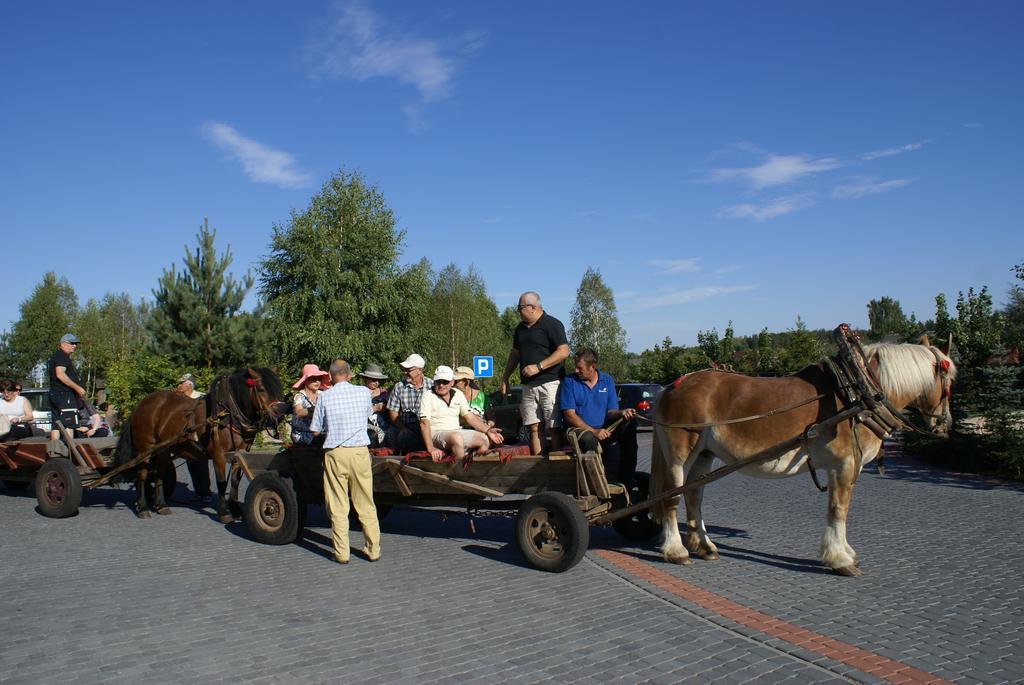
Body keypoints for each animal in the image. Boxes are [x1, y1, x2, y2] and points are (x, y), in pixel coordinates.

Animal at [113, 366, 286, 520]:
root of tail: (141, 404)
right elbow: (221, 482)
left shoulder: (241, 453)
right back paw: (142, 507)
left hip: (163, 449)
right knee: (142, 474)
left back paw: (161, 505)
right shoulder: (218, 454)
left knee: (159, 473)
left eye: (278, 388)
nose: (280, 415)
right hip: (146, 448)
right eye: (262, 389)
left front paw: (236, 509)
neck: (228, 414)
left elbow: (235, 482)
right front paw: (224, 512)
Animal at [651, 335, 954, 577]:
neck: (856, 394)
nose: (945, 424)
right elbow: (838, 509)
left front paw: (846, 552)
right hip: (680, 455)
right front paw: (840, 559)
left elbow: (840, 509)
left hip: (704, 454)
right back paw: (676, 550)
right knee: (671, 496)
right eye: (950, 381)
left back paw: (704, 545)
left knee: (694, 495)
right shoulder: (844, 465)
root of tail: (674, 385)